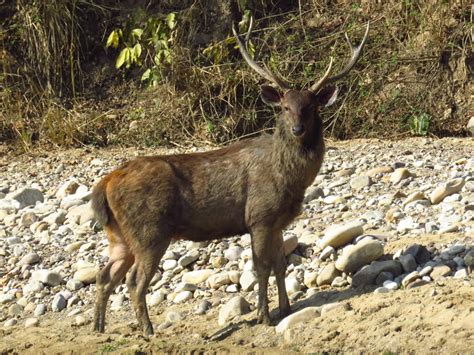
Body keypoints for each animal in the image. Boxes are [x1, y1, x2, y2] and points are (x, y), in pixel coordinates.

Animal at [90, 16, 368, 336]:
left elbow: (280, 264)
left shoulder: (277, 221)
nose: (297, 129)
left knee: (105, 274)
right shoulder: (259, 216)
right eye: (285, 107)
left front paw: (286, 308)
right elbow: (261, 267)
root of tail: (105, 183)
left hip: (119, 235)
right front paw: (264, 315)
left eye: (310, 107)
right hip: (150, 229)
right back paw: (148, 330)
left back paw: (99, 327)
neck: (289, 179)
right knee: (134, 279)